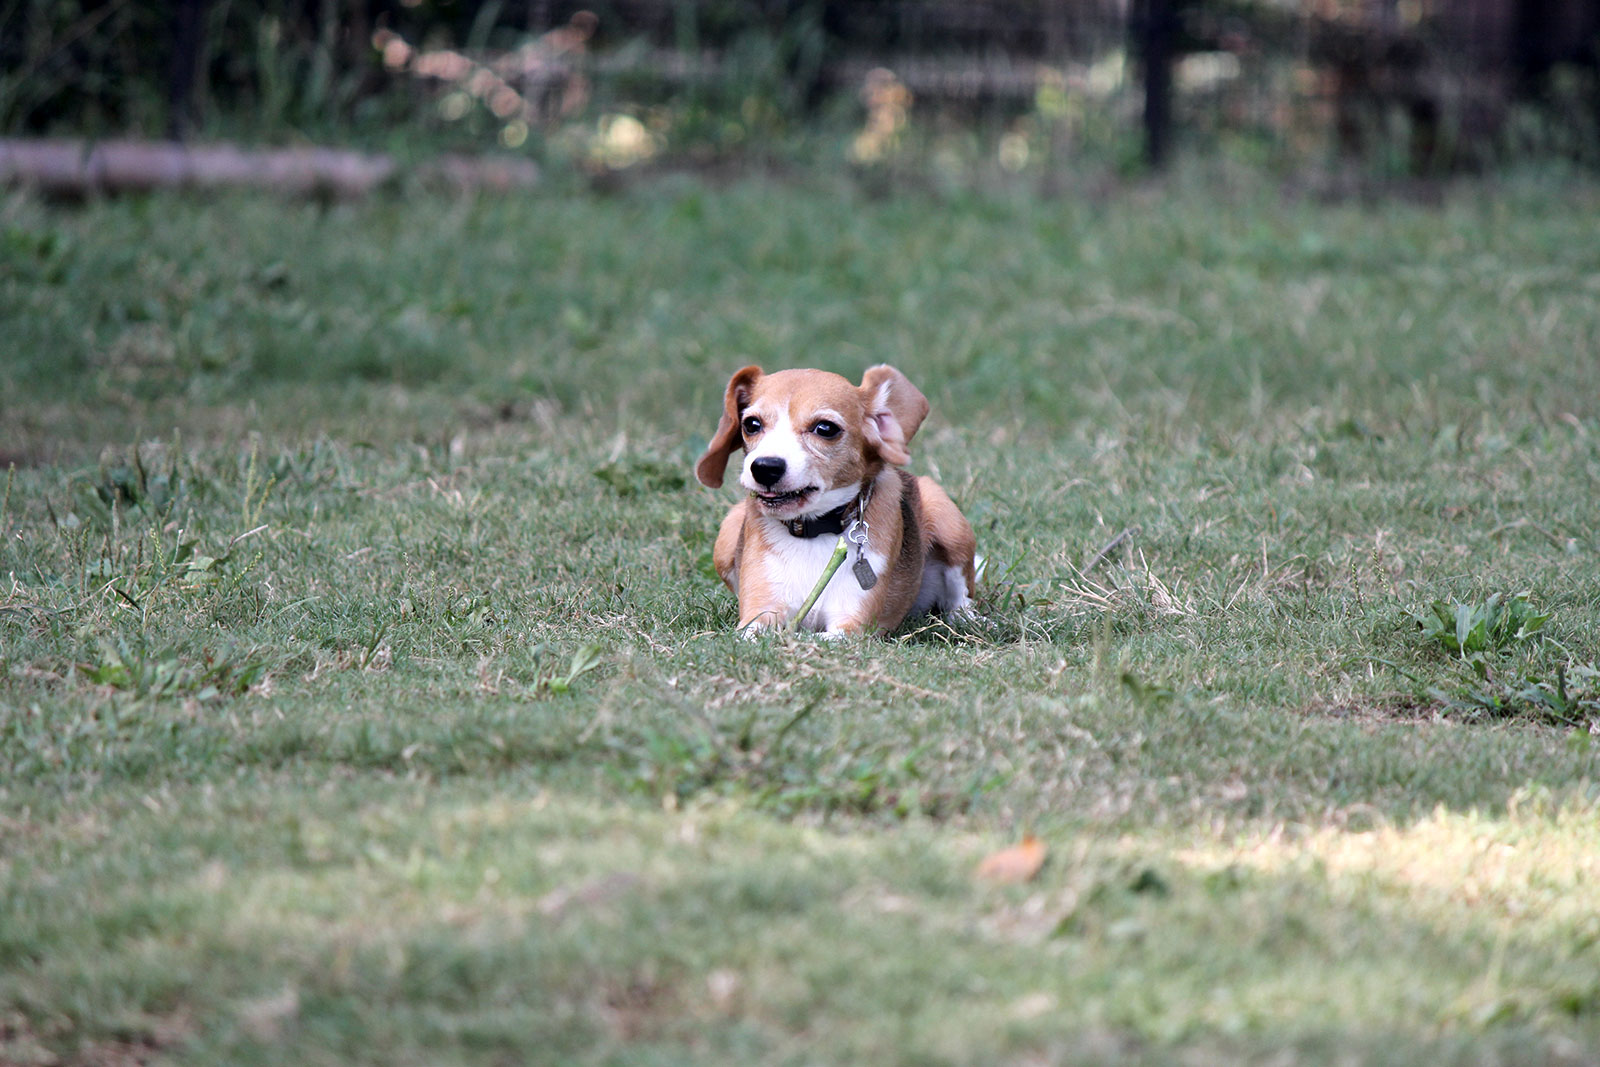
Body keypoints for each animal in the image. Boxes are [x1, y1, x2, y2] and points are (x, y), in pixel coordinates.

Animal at [697, 363, 979, 639]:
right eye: (751, 424)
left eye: (825, 428)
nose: (765, 467)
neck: (814, 531)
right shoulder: (759, 614)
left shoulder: (850, 627)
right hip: (727, 535)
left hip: (949, 522)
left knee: (960, 595)